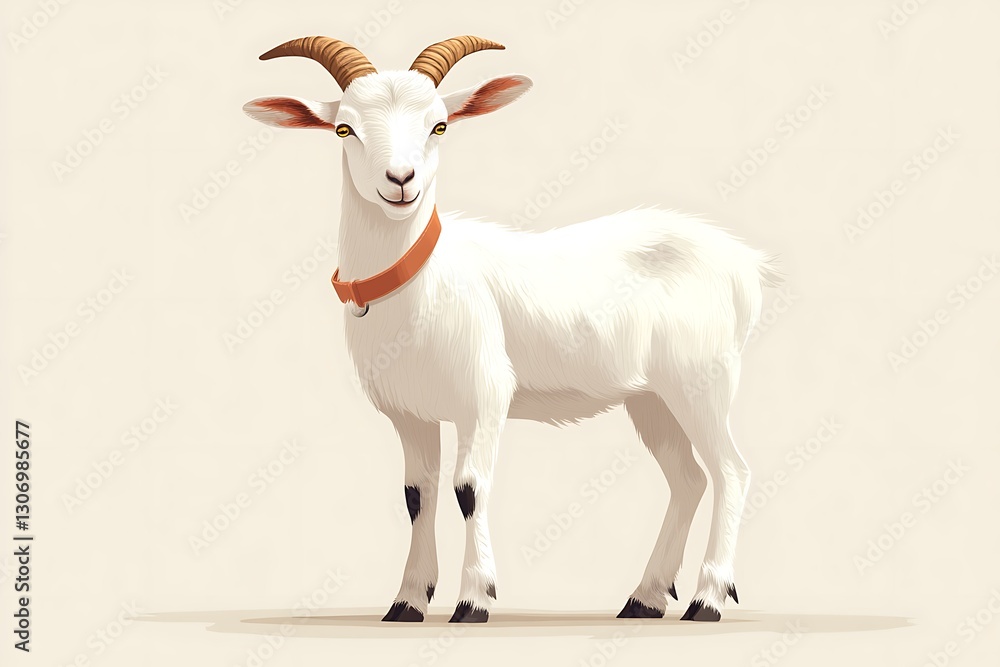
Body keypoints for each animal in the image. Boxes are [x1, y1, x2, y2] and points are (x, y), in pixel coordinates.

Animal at [244, 35, 782, 623]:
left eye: (439, 125)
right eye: (344, 128)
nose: (401, 182)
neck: (422, 282)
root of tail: (746, 262)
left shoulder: (484, 396)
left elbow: (469, 489)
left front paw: (473, 600)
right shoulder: (409, 412)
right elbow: (417, 496)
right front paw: (406, 602)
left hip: (702, 379)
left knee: (731, 472)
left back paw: (708, 598)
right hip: (651, 397)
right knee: (688, 479)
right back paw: (644, 597)